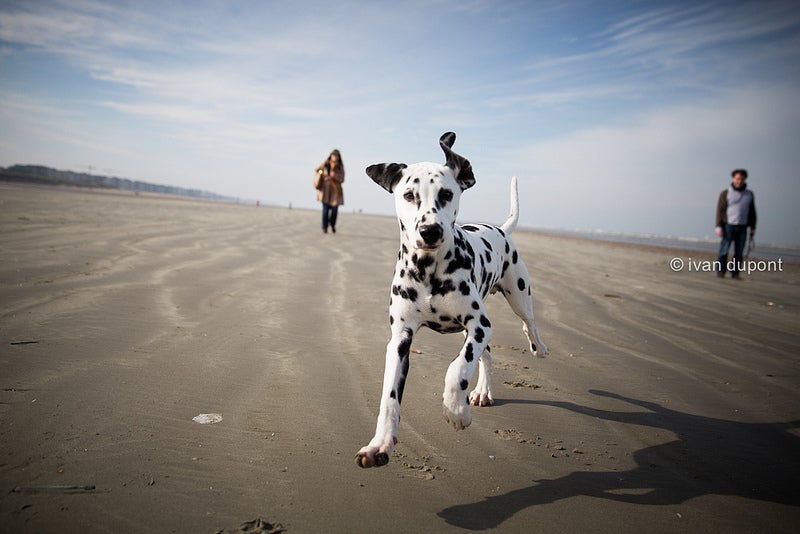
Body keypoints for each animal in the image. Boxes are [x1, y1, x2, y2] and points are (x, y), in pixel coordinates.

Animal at [358, 131, 552, 468]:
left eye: (447, 194)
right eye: (408, 195)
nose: (430, 230)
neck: (427, 270)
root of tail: (500, 229)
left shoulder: (478, 323)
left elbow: (458, 366)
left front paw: (456, 409)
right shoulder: (400, 339)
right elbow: (389, 397)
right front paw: (380, 443)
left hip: (518, 296)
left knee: (528, 324)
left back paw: (537, 348)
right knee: (487, 354)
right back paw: (483, 391)